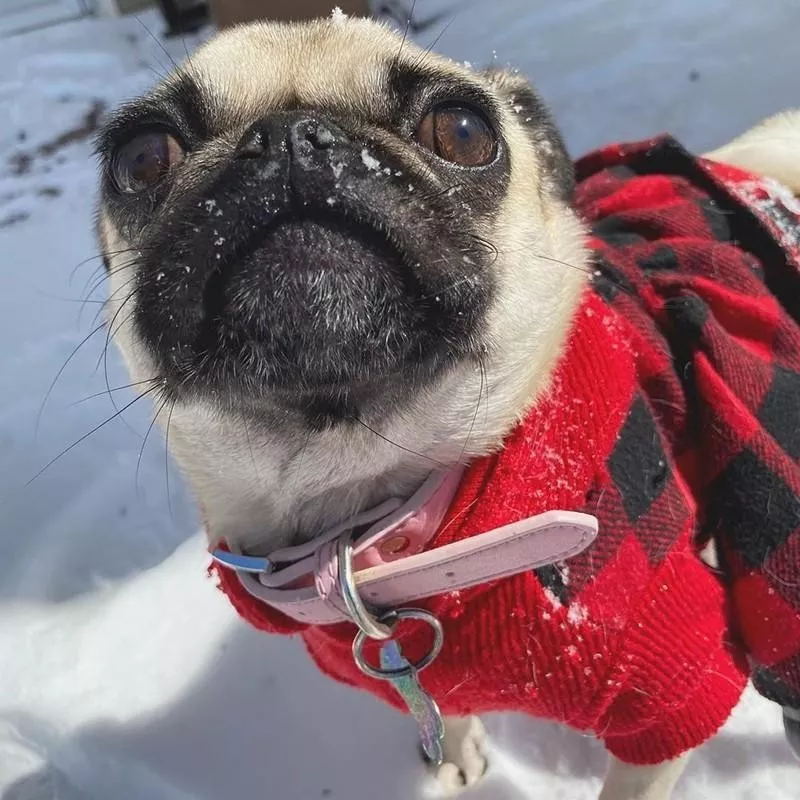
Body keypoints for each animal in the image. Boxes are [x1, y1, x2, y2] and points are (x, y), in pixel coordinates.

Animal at [94, 14, 800, 800]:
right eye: (143, 156)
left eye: (463, 131)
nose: (290, 135)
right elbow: (443, 704)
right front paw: (459, 758)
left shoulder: (668, 698)